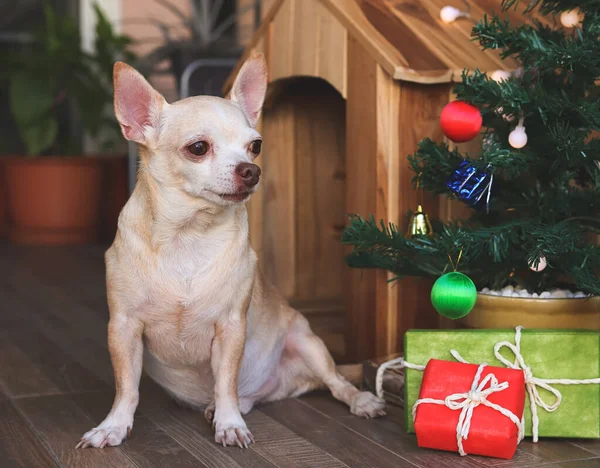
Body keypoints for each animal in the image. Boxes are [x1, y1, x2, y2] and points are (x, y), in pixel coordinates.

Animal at [77, 54, 384, 450]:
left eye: (256, 146)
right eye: (198, 148)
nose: (251, 170)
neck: (188, 236)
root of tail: (282, 386)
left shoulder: (230, 327)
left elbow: (225, 382)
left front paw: (229, 424)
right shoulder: (124, 328)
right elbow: (126, 387)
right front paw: (113, 426)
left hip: (308, 343)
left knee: (336, 383)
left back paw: (360, 401)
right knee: (249, 396)